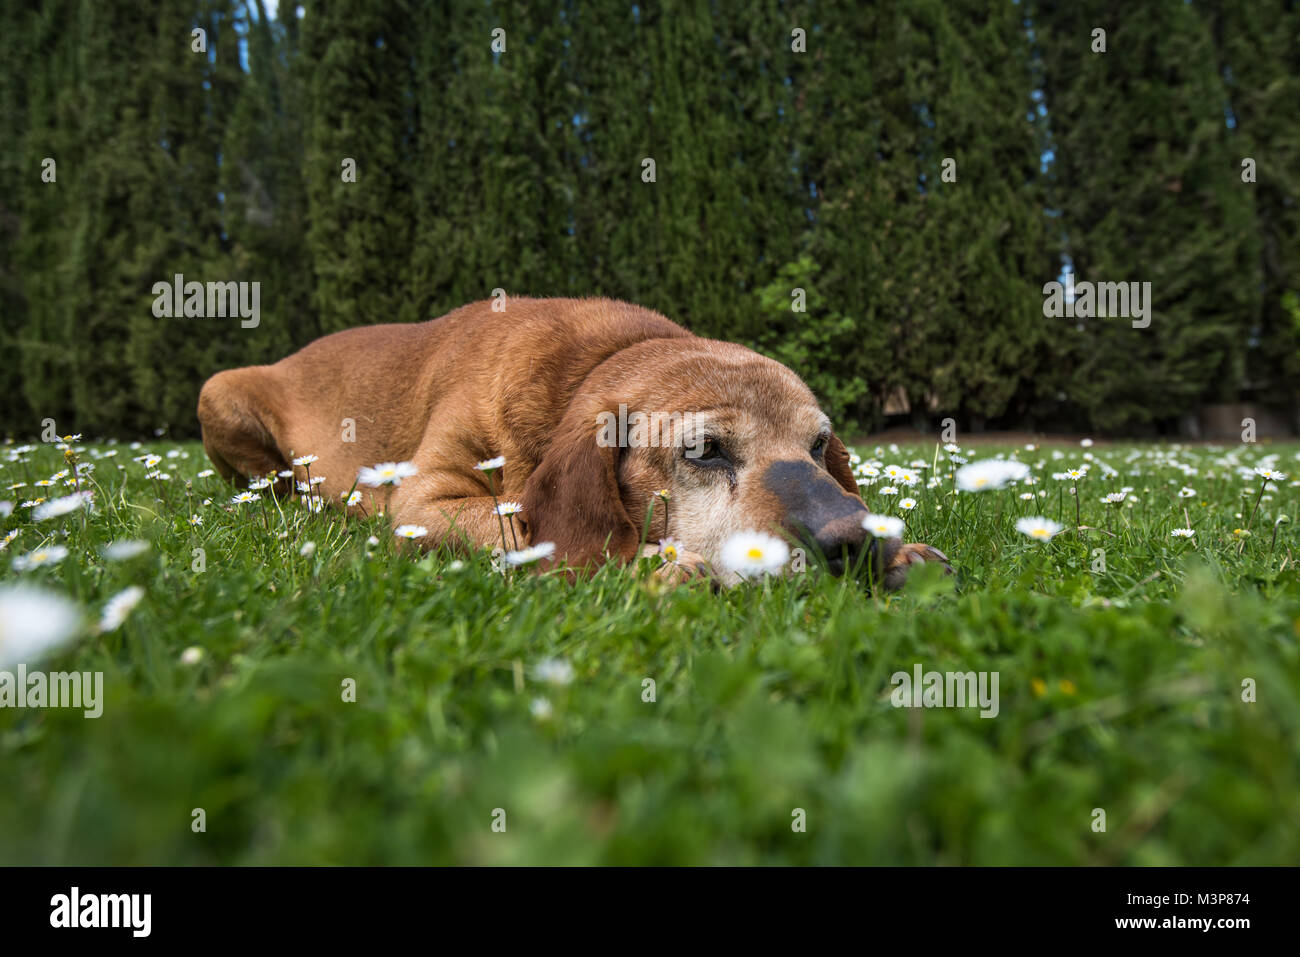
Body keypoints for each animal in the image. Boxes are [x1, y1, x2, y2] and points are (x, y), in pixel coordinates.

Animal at [197, 295, 951, 587]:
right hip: (218, 390)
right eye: (705, 450)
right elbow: (526, 528)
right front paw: (651, 564)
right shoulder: (423, 501)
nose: (854, 542)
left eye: (819, 444)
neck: (595, 362)